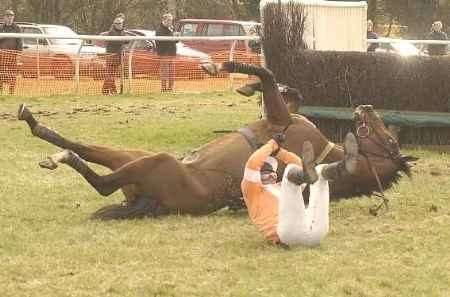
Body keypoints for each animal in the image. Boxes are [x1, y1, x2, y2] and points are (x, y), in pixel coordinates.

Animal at [19, 61, 416, 220]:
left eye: (390, 142)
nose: (366, 107)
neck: (326, 155)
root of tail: (149, 202)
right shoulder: (281, 115)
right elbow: (283, 88)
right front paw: (245, 84)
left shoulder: (281, 120)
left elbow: (268, 75)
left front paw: (225, 68)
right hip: (131, 156)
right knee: (90, 154)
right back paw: (39, 127)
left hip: (156, 162)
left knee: (101, 183)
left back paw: (57, 155)